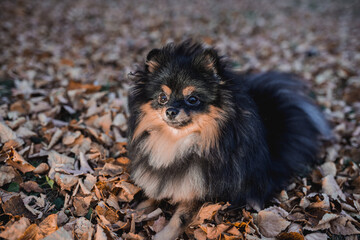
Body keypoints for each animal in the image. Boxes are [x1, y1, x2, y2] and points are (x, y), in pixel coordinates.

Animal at [127, 40, 332, 239]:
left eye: (192, 99)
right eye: (162, 98)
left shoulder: (201, 190)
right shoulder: (164, 175)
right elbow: (154, 192)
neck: (178, 143)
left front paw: (162, 235)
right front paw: (136, 211)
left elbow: (180, 218)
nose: (170, 111)